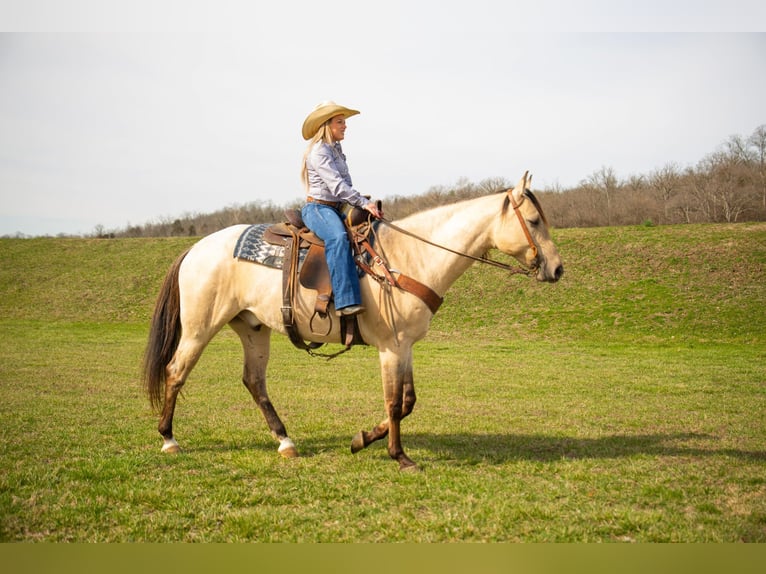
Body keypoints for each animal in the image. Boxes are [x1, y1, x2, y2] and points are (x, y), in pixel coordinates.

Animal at [144, 172, 564, 472]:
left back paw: (286, 442)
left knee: (254, 382)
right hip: (199, 328)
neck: (408, 258)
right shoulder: (390, 348)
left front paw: (362, 439)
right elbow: (394, 402)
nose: (558, 269)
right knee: (176, 371)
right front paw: (399, 456)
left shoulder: (406, 346)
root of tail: (196, 248)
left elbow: (408, 401)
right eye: (533, 221)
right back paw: (169, 439)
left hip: (253, 328)